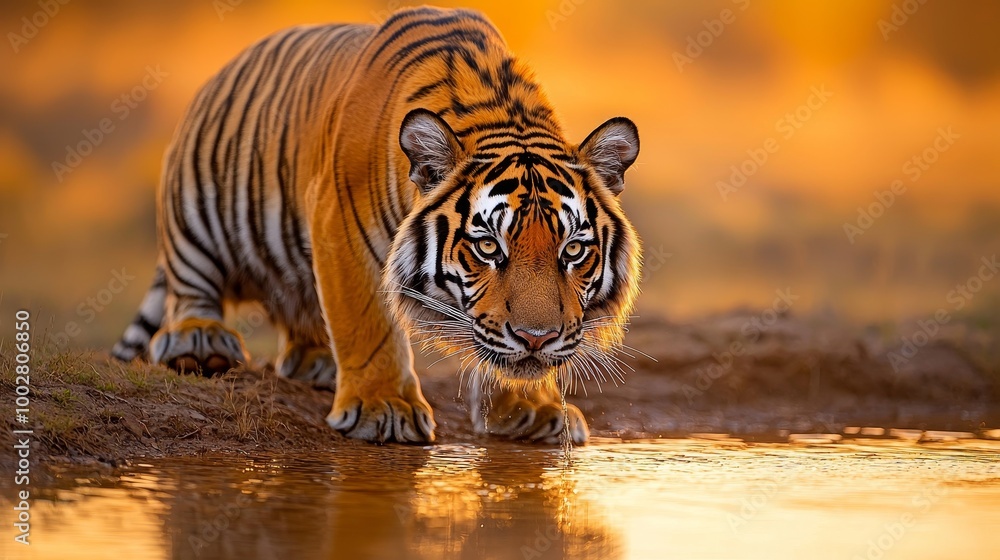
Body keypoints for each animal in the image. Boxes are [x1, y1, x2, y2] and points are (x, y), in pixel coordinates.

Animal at [112, 6, 641, 444]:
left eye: (573, 250)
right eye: (489, 247)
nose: (537, 339)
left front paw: (532, 408)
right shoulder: (340, 227)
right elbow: (368, 323)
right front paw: (383, 408)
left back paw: (318, 362)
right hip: (196, 205)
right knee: (190, 288)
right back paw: (201, 341)